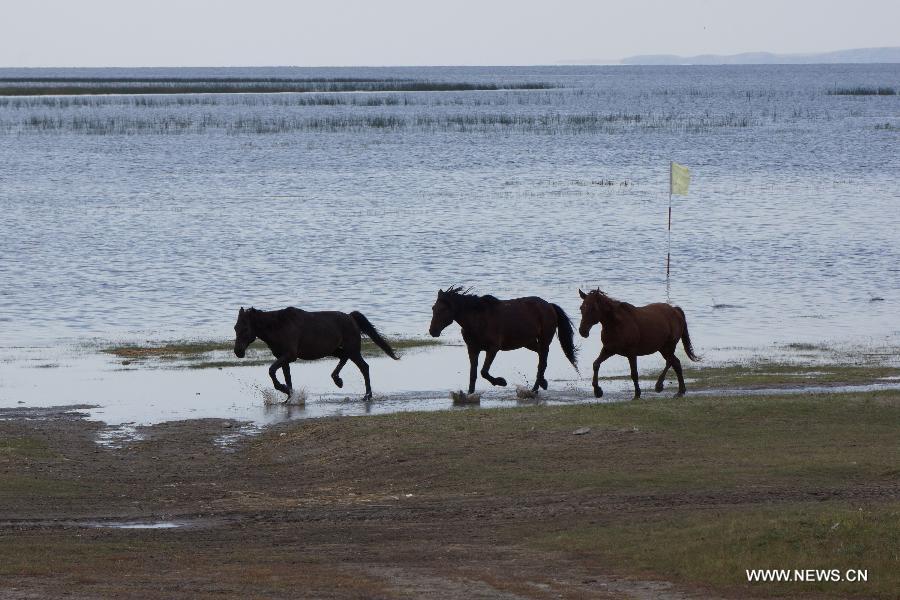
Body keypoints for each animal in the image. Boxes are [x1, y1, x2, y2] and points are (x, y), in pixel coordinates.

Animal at [234, 308, 400, 400]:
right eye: (235, 327)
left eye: (245, 328)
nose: (238, 352)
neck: (278, 327)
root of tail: (351, 317)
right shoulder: (283, 358)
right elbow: (287, 377)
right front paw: (290, 397)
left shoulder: (289, 355)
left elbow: (271, 370)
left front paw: (284, 389)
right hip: (335, 349)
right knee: (344, 358)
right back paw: (338, 381)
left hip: (352, 349)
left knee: (364, 367)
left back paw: (367, 395)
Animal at [428, 288, 576, 396]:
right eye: (433, 308)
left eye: (443, 309)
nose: (432, 331)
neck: (478, 319)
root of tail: (549, 306)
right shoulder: (472, 349)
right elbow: (473, 374)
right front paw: (470, 393)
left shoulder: (493, 348)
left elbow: (483, 372)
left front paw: (501, 382)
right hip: (529, 342)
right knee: (541, 358)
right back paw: (543, 383)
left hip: (544, 340)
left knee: (542, 362)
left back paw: (534, 389)